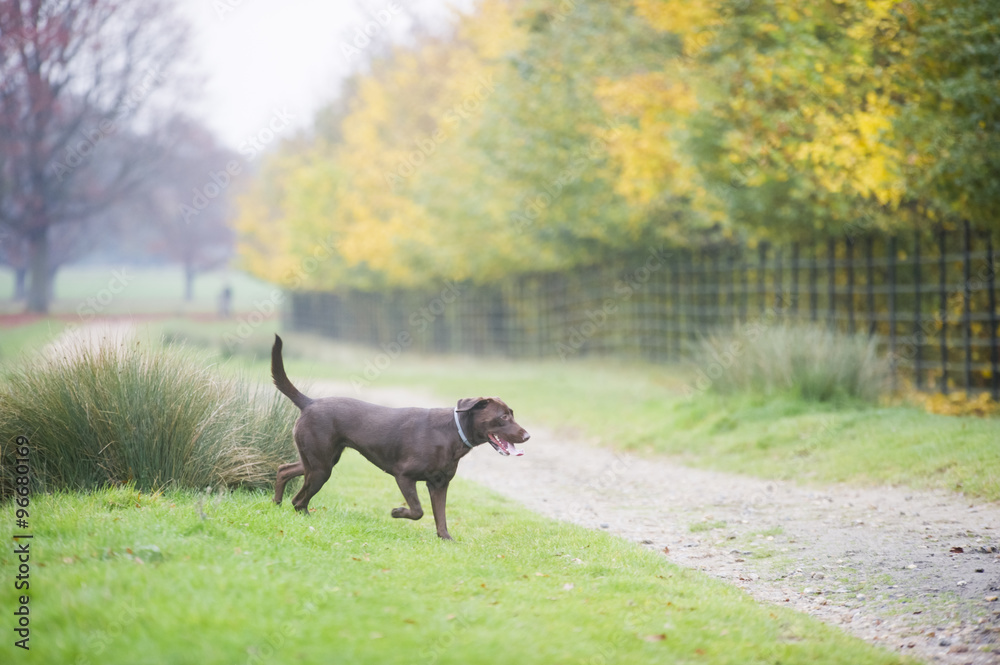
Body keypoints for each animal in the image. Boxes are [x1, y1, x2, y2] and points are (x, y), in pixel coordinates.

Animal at [266, 334, 532, 536]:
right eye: (504, 417)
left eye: (512, 414)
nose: (528, 436)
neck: (451, 433)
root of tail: (309, 402)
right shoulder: (404, 476)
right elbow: (418, 511)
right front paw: (397, 512)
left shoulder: (440, 484)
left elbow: (441, 517)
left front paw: (446, 539)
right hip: (321, 467)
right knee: (298, 500)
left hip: (320, 460)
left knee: (285, 471)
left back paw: (276, 504)